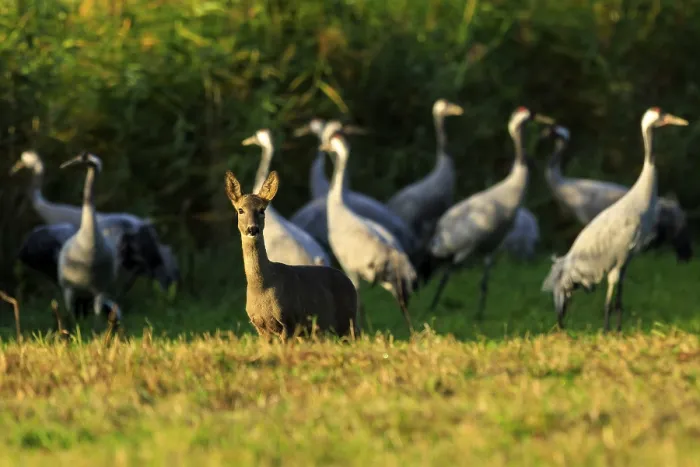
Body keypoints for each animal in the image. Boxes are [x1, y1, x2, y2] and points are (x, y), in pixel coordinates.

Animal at [224, 169, 359, 340]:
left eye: (262, 210)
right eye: (240, 210)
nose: (252, 228)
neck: (262, 286)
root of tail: (349, 282)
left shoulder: (288, 320)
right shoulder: (260, 327)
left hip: (348, 320)